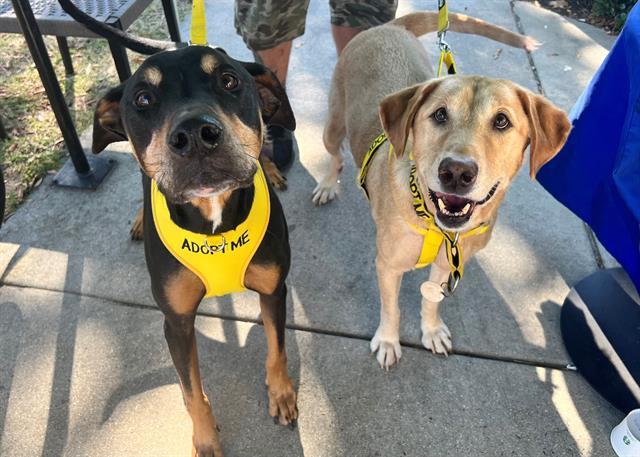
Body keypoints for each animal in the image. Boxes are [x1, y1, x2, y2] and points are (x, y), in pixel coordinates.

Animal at [312, 10, 572, 366]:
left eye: (502, 121)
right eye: (439, 115)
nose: (457, 172)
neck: (437, 227)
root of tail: (388, 27)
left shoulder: (446, 266)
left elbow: (431, 299)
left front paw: (432, 330)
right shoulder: (388, 266)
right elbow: (391, 309)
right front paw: (388, 341)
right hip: (333, 124)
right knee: (335, 154)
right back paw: (327, 184)